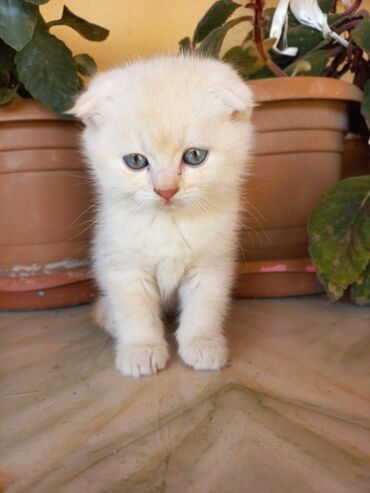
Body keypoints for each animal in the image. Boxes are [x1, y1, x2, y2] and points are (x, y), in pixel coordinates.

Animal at [69, 53, 254, 376]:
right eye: (135, 161)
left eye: (195, 156)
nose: (166, 190)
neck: (169, 225)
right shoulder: (124, 267)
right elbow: (136, 313)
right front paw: (141, 350)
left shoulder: (211, 265)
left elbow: (204, 309)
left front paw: (202, 345)